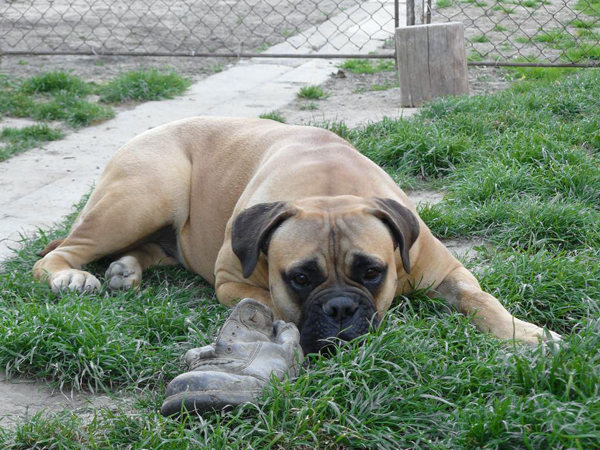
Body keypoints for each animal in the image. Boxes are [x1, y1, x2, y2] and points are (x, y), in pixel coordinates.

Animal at [34, 117, 560, 353]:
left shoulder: (449, 271)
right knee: (57, 254)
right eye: (301, 279)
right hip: (143, 196)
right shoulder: (232, 280)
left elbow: (483, 301)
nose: (341, 308)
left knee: (141, 250)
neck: (328, 188)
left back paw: (125, 269)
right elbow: (269, 304)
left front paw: (530, 333)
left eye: (372, 272)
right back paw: (71, 277)